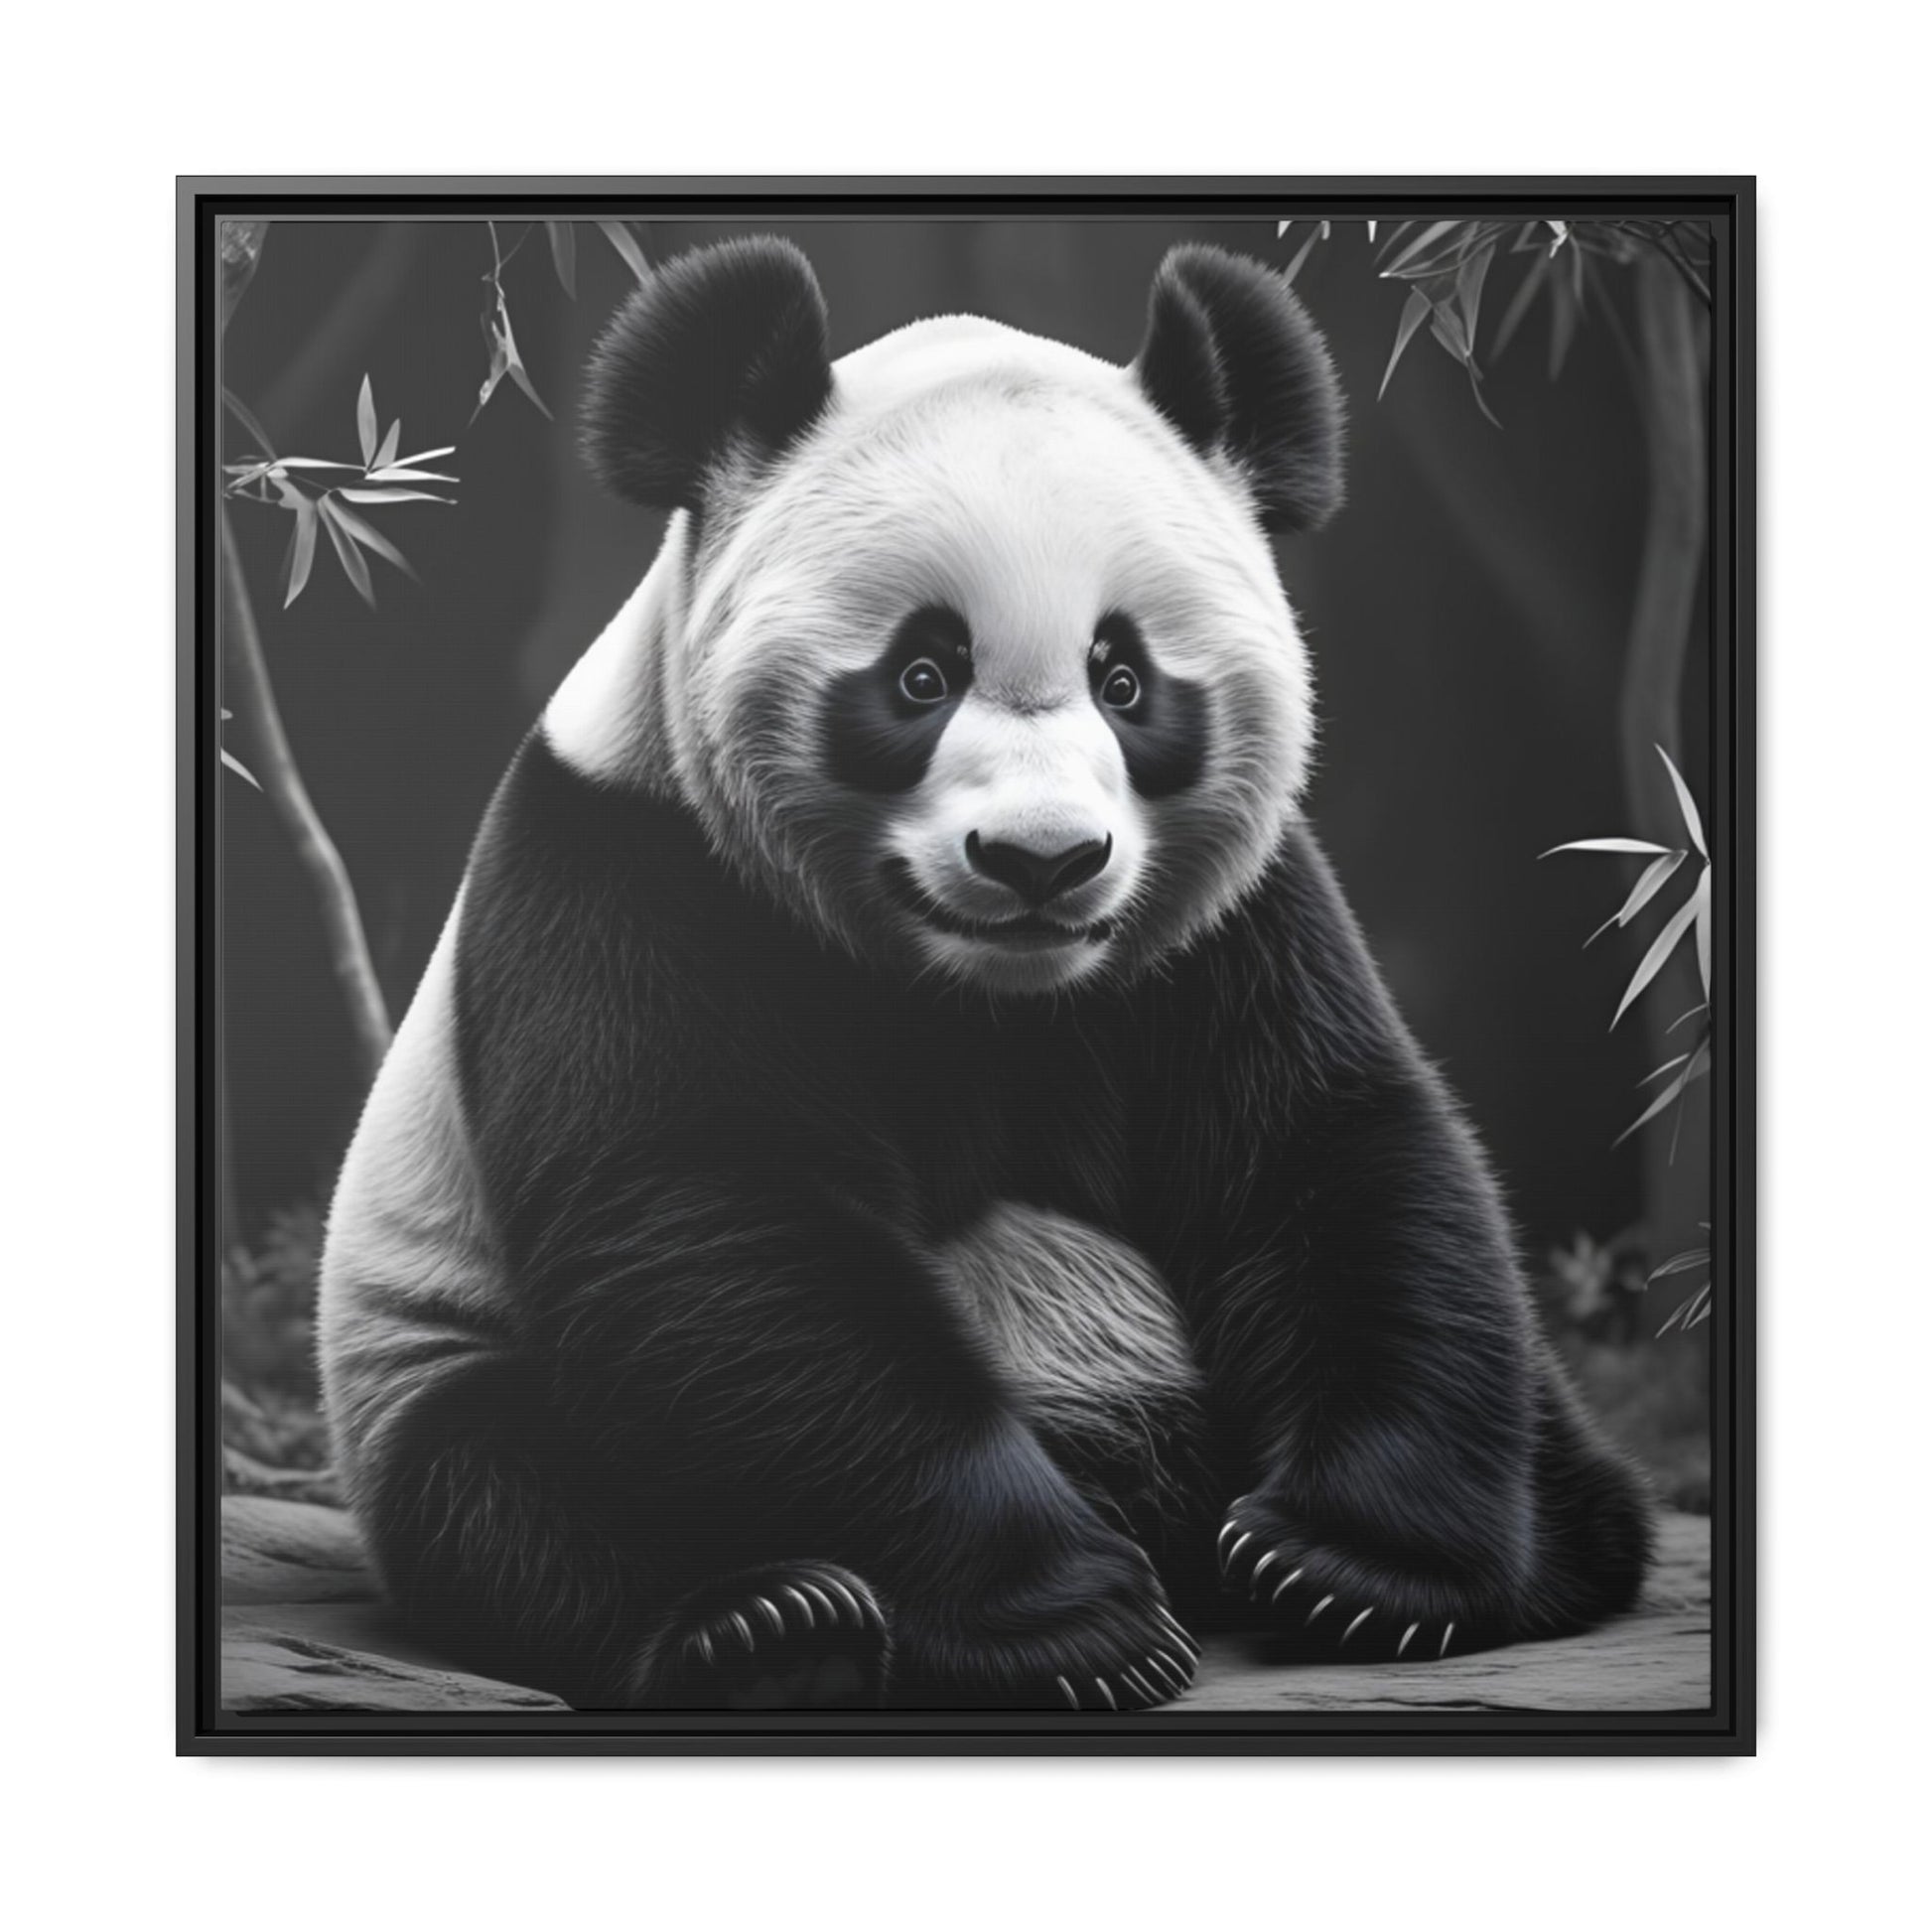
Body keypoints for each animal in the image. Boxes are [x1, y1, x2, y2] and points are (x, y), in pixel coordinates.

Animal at [318, 237, 1653, 1712]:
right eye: (920, 673)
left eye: (1124, 677)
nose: (1041, 860)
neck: (980, 995)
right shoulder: (633, 874)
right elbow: (712, 1220)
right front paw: (1072, 1622)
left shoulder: (1228, 923)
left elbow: (1326, 1150)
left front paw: (1349, 1567)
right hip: (424, 1354)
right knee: (511, 1491)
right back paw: (771, 1627)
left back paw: (1554, 1539)